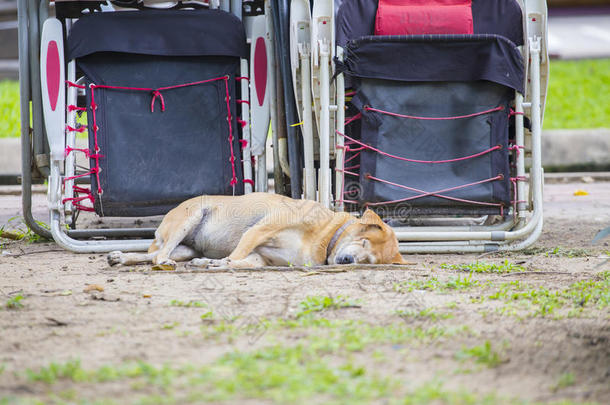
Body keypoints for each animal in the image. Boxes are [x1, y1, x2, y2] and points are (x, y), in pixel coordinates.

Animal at [107, 192, 406, 268]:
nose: (347, 261)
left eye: (370, 261)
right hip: (189, 219)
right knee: (159, 255)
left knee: (152, 255)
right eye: (364, 241)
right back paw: (163, 262)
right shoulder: (260, 229)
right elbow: (237, 254)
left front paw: (213, 263)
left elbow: (240, 262)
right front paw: (217, 263)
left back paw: (121, 257)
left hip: (185, 248)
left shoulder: (262, 258)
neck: (324, 236)